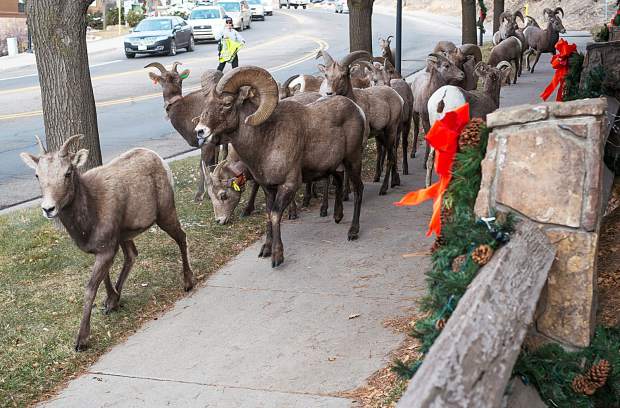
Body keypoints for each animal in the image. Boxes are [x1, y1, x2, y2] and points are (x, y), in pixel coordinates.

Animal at [20, 135, 194, 350]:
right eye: (37, 175)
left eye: (68, 172)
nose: (48, 208)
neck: (90, 216)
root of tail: (159, 159)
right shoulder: (106, 247)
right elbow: (104, 278)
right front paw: (111, 302)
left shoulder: (106, 249)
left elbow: (90, 288)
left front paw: (81, 340)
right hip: (125, 235)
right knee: (132, 255)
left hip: (165, 214)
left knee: (181, 237)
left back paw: (188, 283)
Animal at [195, 65, 368, 266]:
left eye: (227, 103)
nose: (200, 131)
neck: (266, 140)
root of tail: (357, 109)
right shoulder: (268, 188)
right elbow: (269, 215)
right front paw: (266, 250)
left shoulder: (288, 185)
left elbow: (276, 214)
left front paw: (277, 256)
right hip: (335, 165)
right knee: (339, 181)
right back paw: (337, 217)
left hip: (353, 160)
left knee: (359, 189)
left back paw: (353, 231)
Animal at [318, 49, 404, 194]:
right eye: (326, 74)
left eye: (343, 75)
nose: (329, 93)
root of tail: (398, 97)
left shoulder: (360, 143)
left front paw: (348, 192)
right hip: (381, 134)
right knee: (391, 153)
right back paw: (395, 182)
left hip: (391, 130)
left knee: (390, 156)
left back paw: (384, 188)